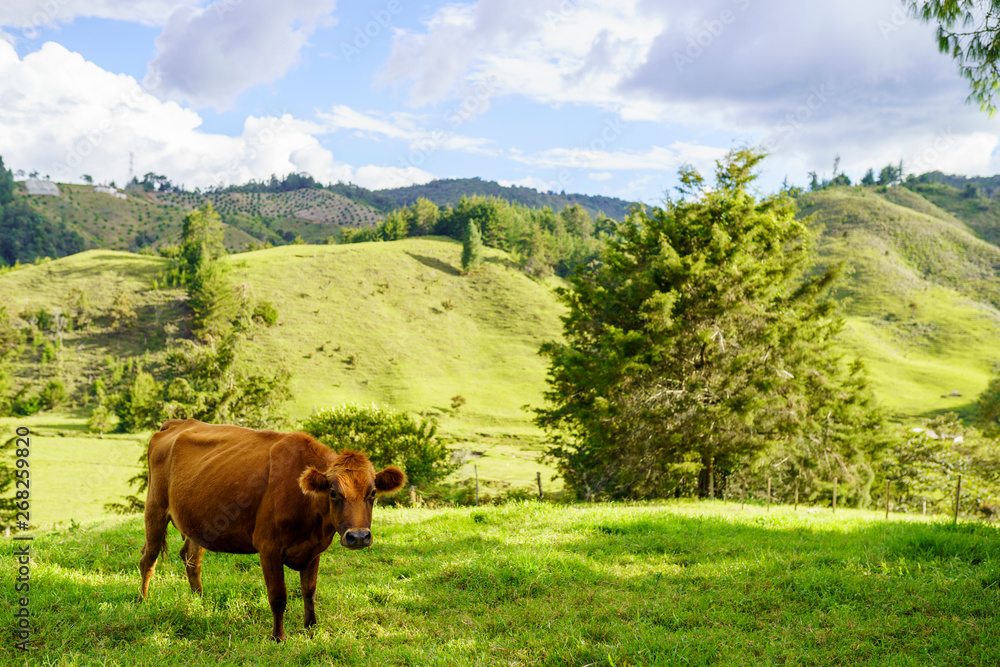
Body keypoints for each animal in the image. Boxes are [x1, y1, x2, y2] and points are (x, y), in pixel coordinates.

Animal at [137, 418, 405, 641]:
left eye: (372, 493)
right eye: (333, 492)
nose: (358, 536)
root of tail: (178, 422)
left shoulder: (314, 550)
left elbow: (309, 592)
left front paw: (310, 629)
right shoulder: (269, 548)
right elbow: (278, 597)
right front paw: (278, 637)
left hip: (198, 521)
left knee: (192, 559)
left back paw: (199, 601)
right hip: (155, 508)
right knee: (148, 559)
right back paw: (142, 601)